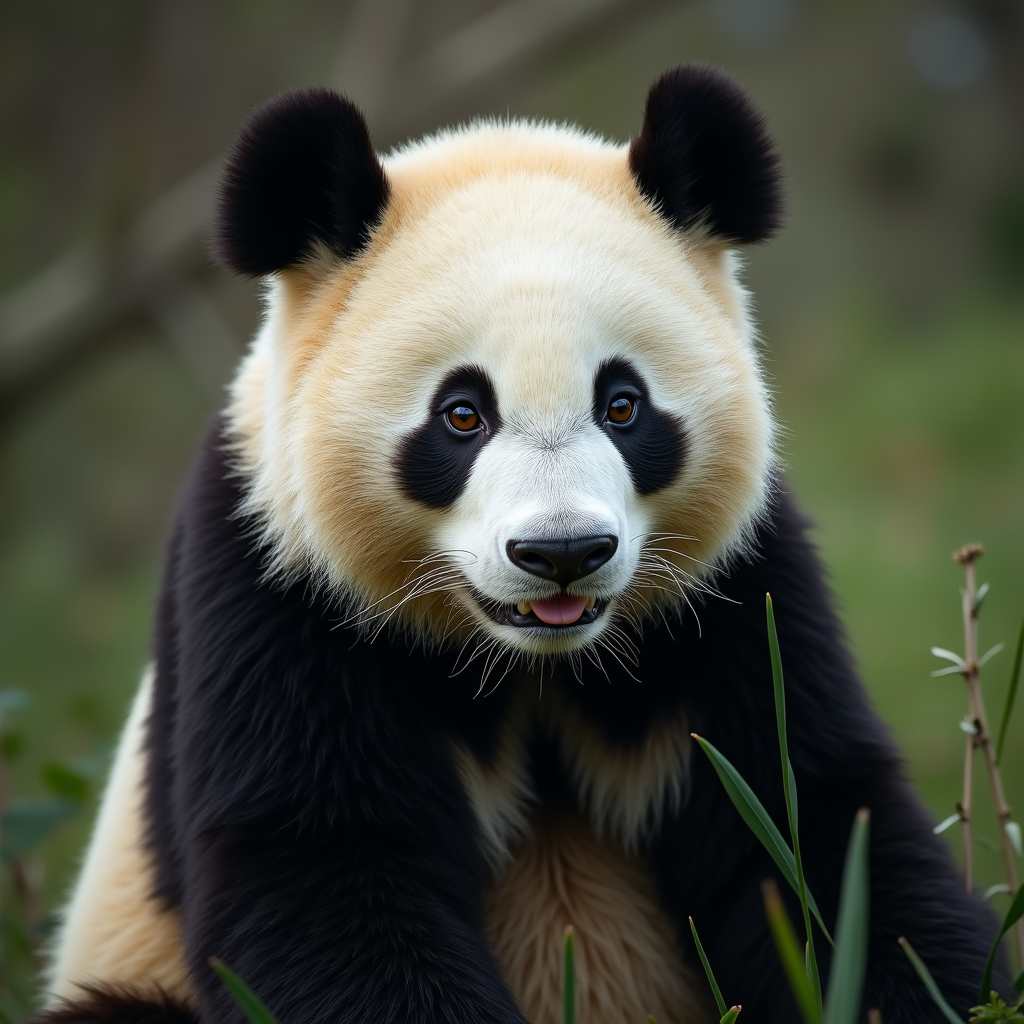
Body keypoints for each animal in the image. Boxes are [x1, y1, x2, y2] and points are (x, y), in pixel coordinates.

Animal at [41, 65, 1009, 1024]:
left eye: (623, 404)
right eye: (462, 415)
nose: (563, 553)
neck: (535, 663)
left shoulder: (740, 596)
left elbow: (816, 828)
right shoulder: (276, 588)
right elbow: (321, 871)